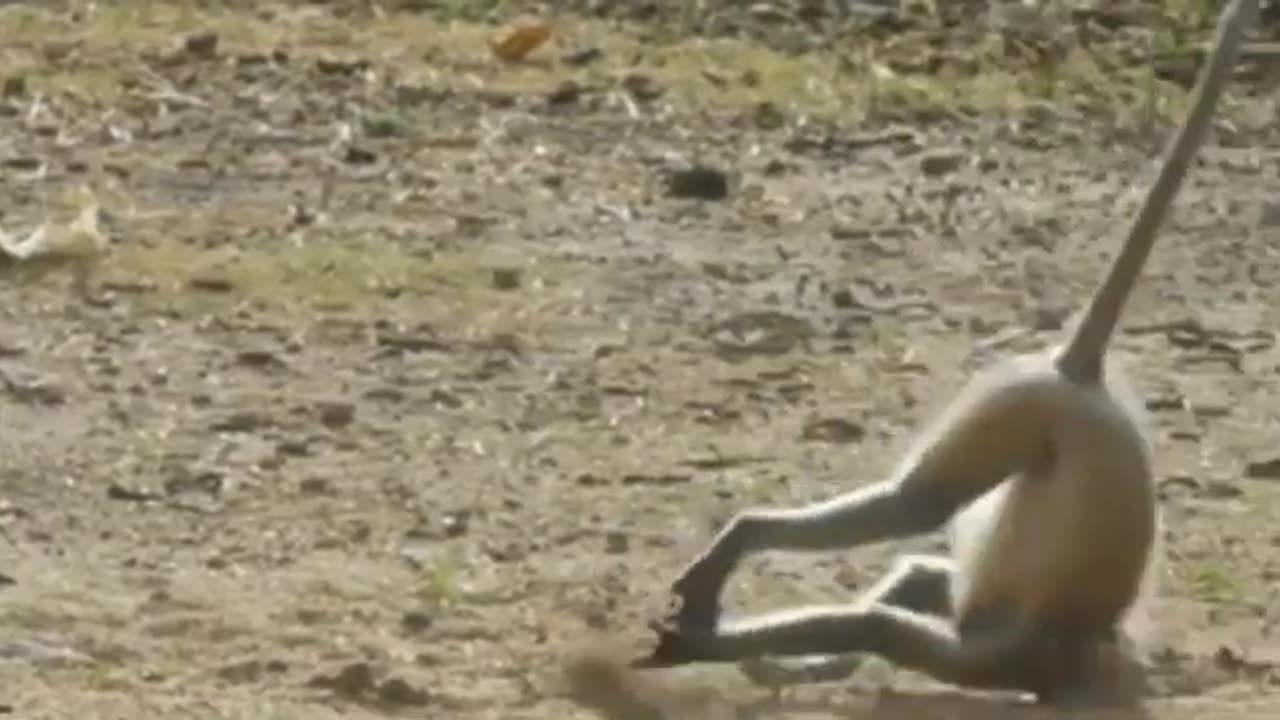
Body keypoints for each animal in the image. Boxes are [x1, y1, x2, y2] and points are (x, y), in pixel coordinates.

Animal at [627, 0, 1257, 706]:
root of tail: (1079, 375)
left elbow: (918, 585)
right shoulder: (1016, 658)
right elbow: (892, 621)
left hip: (1017, 407)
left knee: (918, 552)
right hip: (1023, 405)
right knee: (916, 508)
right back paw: (741, 569)